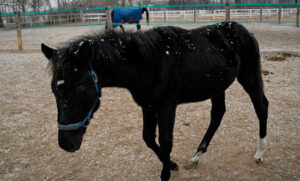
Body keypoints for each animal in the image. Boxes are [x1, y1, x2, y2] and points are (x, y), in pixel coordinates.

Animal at [41, 21, 268, 181]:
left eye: (79, 87)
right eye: (53, 89)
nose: (66, 144)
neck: (148, 62)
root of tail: (244, 30)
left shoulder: (167, 107)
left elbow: (166, 142)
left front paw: (166, 173)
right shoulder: (148, 106)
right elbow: (148, 138)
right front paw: (172, 165)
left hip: (249, 76)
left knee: (261, 106)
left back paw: (259, 153)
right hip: (218, 86)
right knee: (218, 114)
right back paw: (196, 156)